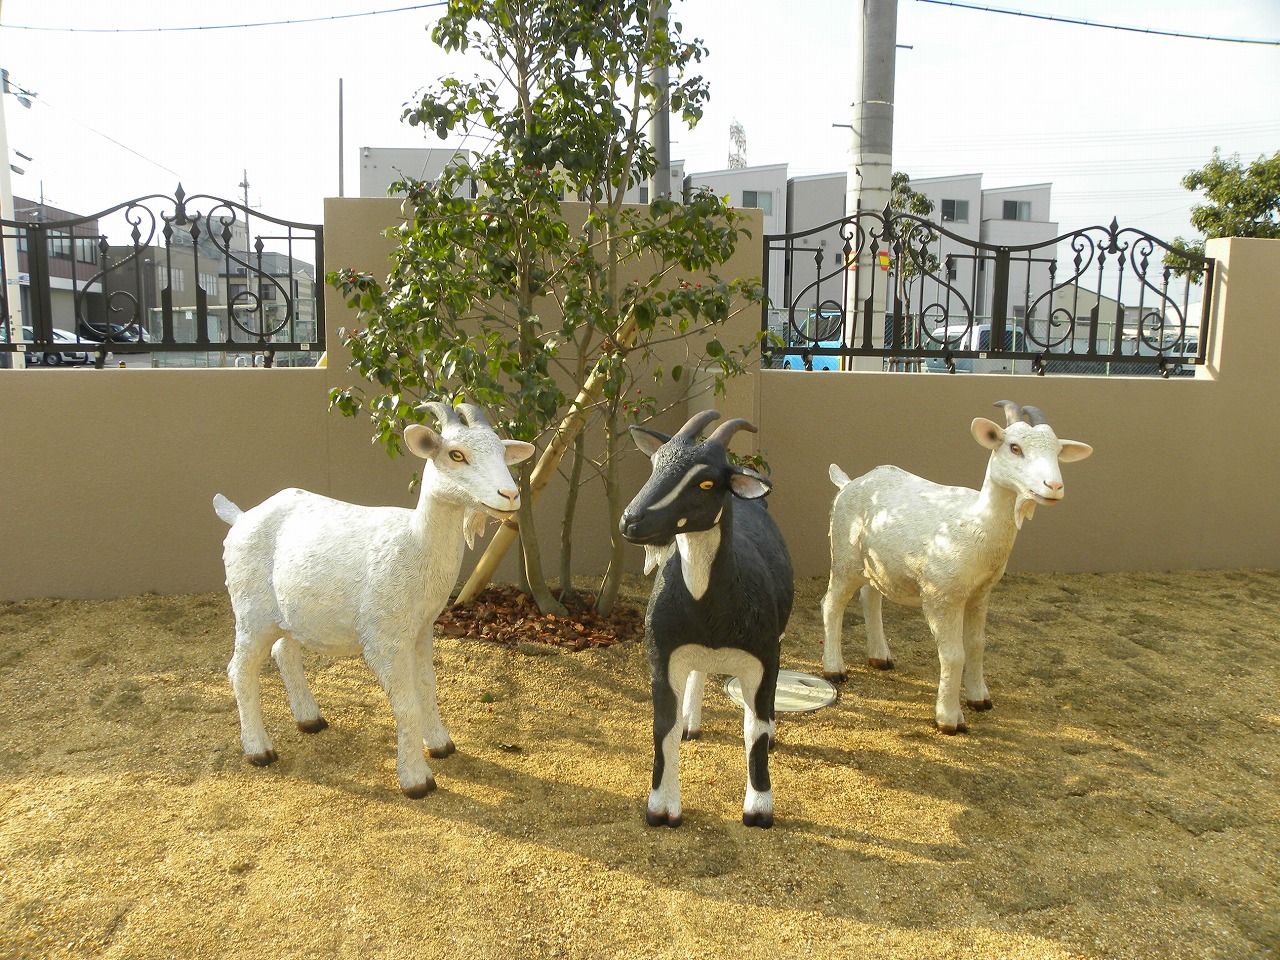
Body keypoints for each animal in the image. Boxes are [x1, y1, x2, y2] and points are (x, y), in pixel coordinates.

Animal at [213, 401, 534, 797]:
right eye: (455, 454)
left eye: (503, 453)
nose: (510, 495)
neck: (414, 544)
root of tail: (240, 517)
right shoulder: (384, 638)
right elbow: (407, 704)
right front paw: (417, 779)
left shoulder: (421, 630)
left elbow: (428, 688)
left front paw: (441, 744)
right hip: (250, 610)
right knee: (240, 670)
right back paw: (259, 750)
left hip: (292, 612)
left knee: (284, 652)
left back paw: (310, 719)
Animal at [621, 410, 794, 829]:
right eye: (655, 463)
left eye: (705, 481)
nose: (631, 521)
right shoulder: (662, 655)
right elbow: (663, 727)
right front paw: (661, 808)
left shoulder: (762, 659)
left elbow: (754, 729)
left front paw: (759, 809)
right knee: (697, 672)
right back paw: (691, 722)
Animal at [821, 400, 1092, 734]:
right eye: (1014, 447)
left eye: (1056, 451)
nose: (1053, 486)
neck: (976, 522)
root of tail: (848, 482)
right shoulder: (941, 596)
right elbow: (953, 655)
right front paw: (949, 718)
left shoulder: (980, 594)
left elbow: (976, 645)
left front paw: (980, 699)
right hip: (844, 556)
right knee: (832, 603)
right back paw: (835, 669)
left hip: (879, 563)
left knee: (870, 598)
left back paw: (880, 657)